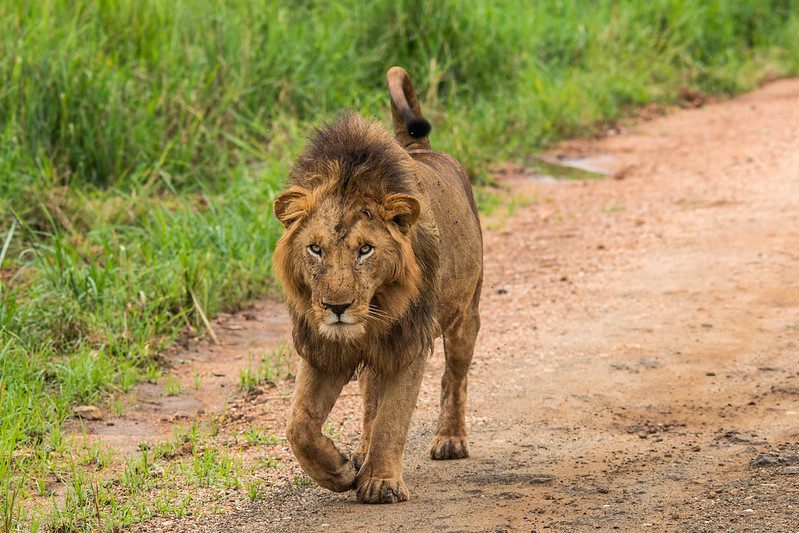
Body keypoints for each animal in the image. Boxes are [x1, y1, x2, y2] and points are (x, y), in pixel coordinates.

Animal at [273, 66, 483, 504]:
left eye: (365, 250)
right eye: (315, 248)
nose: (336, 307)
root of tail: (421, 148)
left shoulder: (408, 343)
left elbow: (393, 416)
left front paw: (381, 483)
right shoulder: (322, 348)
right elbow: (299, 425)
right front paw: (338, 471)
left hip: (465, 314)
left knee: (454, 377)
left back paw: (450, 439)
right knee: (370, 397)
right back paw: (360, 453)